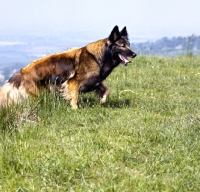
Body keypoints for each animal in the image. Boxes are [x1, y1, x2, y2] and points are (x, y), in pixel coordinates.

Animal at [0, 25, 136, 109]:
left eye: (129, 45)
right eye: (122, 46)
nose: (134, 54)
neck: (98, 57)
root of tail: (21, 73)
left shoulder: (95, 81)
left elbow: (107, 90)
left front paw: (102, 100)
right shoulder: (72, 82)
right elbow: (74, 98)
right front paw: (75, 109)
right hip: (35, 94)